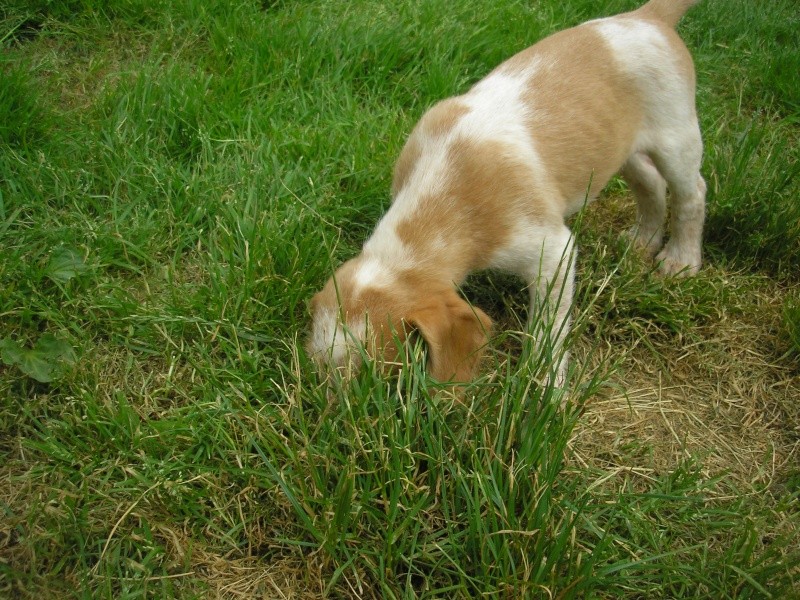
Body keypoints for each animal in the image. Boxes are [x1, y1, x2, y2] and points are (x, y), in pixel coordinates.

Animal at [308, 0, 708, 384]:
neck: (441, 184)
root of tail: (648, 16)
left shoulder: (554, 253)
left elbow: (548, 330)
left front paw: (542, 384)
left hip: (677, 139)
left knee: (692, 194)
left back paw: (681, 260)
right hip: (620, 148)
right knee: (651, 183)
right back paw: (643, 240)